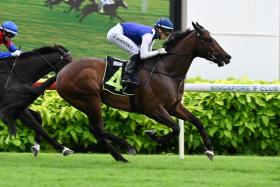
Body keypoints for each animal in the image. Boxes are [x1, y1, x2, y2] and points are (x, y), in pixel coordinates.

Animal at [55, 22, 232, 162]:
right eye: (208, 39)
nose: (227, 56)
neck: (166, 70)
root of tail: (63, 71)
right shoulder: (152, 109)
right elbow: (176, 128)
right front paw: (154, 135)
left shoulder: (173, 106)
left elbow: (197, 121)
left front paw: (209, 150)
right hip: (90, 99)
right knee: (98, 128)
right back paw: (127, 146)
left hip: (85, 103)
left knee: (95, 129)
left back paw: (120, 157)